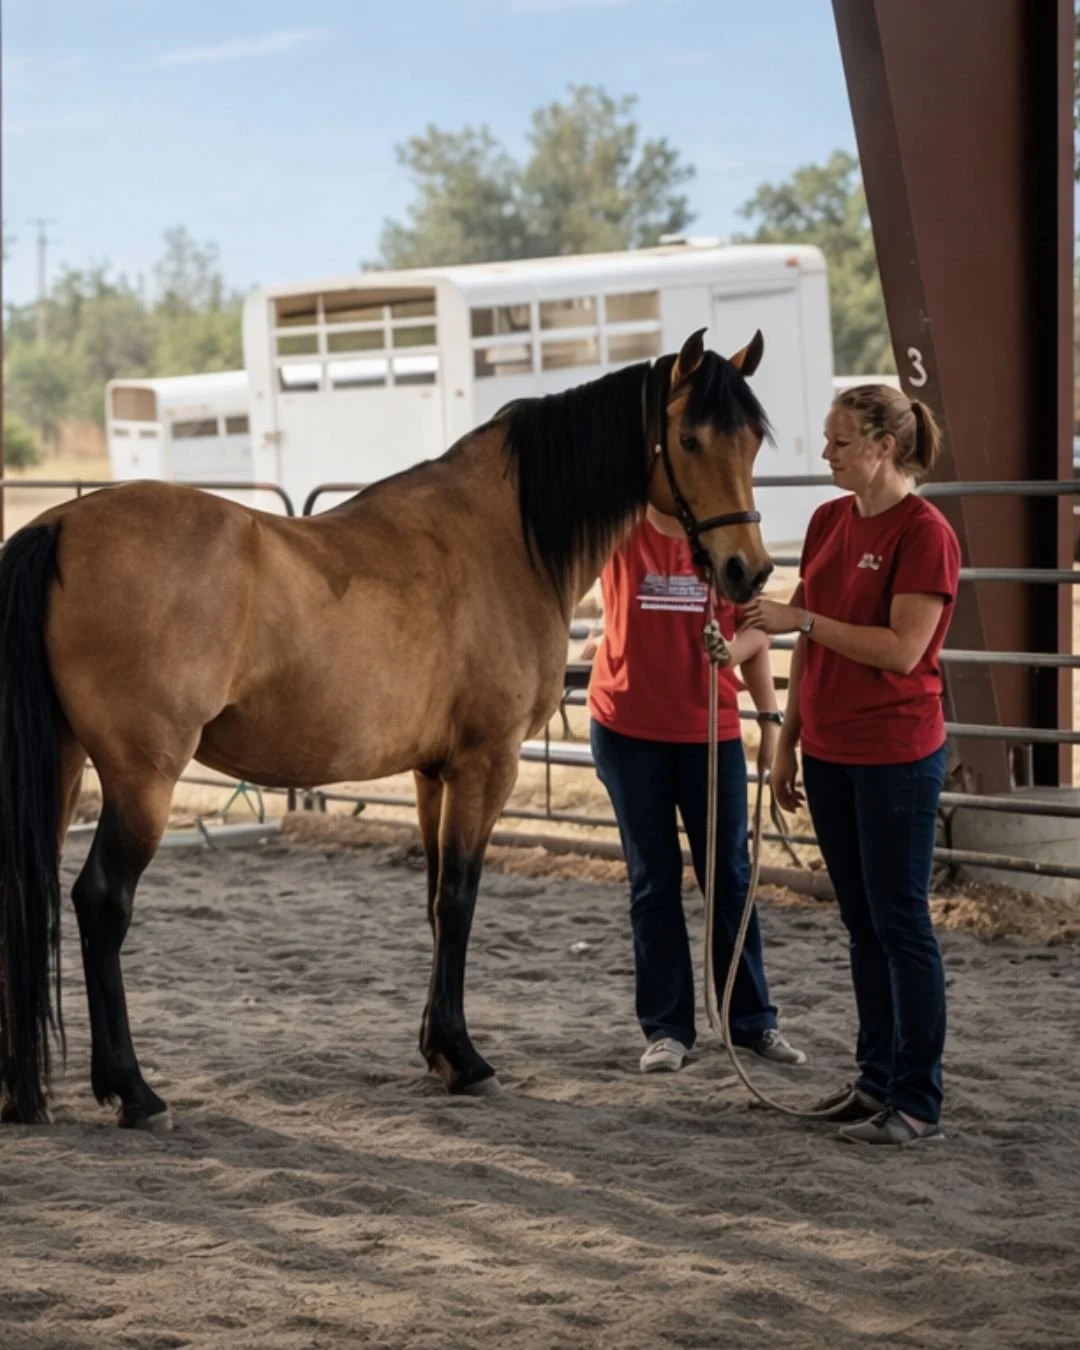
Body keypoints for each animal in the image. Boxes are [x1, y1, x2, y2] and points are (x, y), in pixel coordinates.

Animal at [0, 327, 774, 1129]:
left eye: (752, 440)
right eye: (689, 439)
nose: (747, 571)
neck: (506, 537)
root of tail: (58, 526)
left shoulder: (433, 771)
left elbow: (435, 901)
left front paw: (439, 1049)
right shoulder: (487, 763)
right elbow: (459, 900)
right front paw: (466, 1060)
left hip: (63, 766)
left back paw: (22, 1092)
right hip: (142, 777)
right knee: (101, 903)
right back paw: (133, 1091)